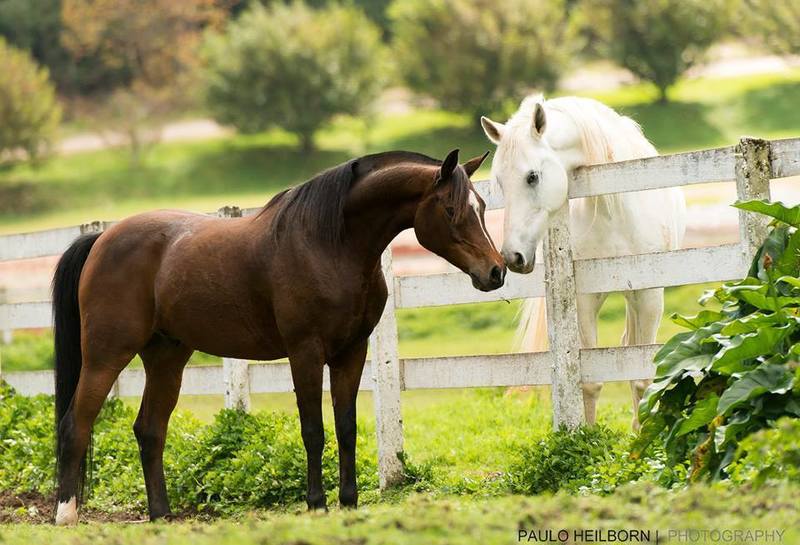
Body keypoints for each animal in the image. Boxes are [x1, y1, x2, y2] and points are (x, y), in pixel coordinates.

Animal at [51, 149, 506, 524]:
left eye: (482, 207)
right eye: (451, 209)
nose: (496, 271)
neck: (329, 243)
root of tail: (102, 239)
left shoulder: (351, 352)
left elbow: (346, 427)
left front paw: (349, 501)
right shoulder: (305, 353)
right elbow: (313, 430)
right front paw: (317, 503)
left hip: (167, 359)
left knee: (149, 431)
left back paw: (161, 515)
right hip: (106, 355)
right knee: (77, 423)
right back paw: (66, 514)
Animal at [482, 94, 688, 430]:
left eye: (532, 176)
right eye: (499, 181)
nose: (512, 257)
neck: (613, 208)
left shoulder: (649, 295)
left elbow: (642, 376)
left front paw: (644, 435)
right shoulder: (585, 299)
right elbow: (590, 380)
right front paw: (587, 435)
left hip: (636, 298)